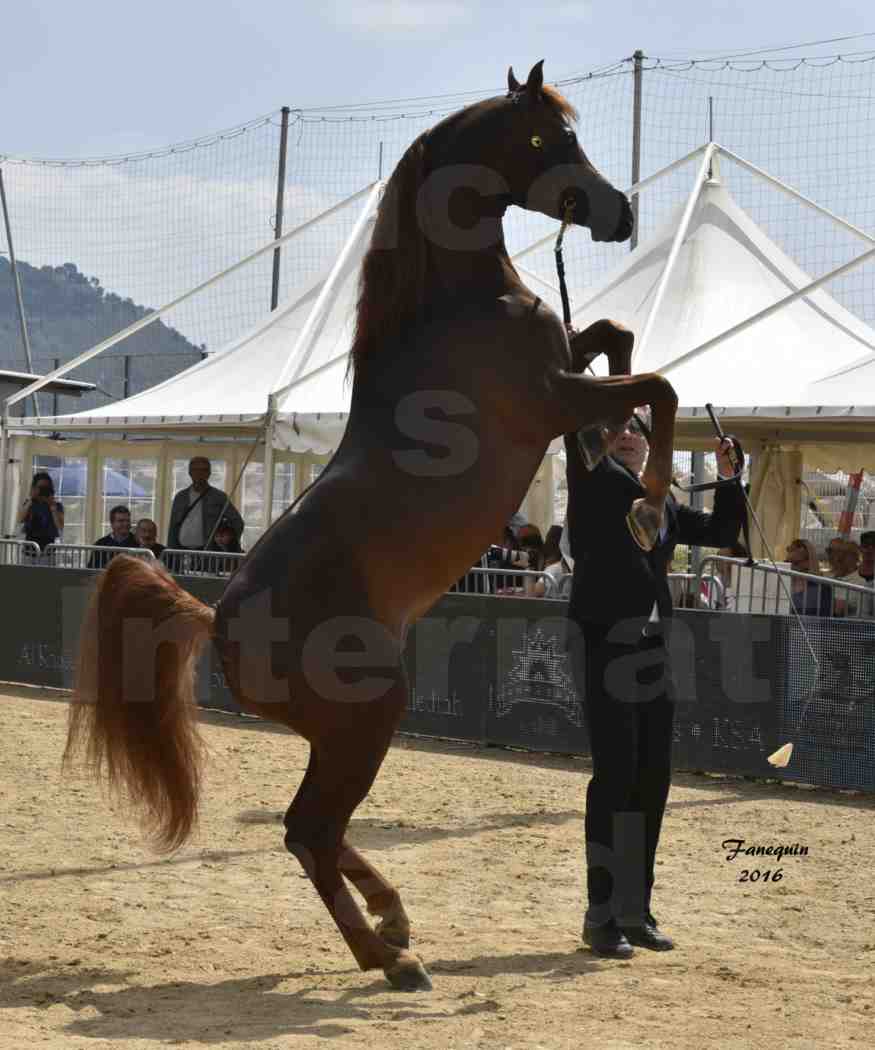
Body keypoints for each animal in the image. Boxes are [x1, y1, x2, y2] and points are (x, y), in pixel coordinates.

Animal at [66, 63, 676, 991]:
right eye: (547, 138)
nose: (619, 215)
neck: (457, 306)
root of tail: (215, 616)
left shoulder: (567, 369)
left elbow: (619, 337)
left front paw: (627, 458)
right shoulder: (552, 398)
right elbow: (658, 384)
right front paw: (645, 492)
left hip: (343, 733)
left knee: (316, 833)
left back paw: (392, 922)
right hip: (366, 720)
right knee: (308, 831)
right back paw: (389, 959)